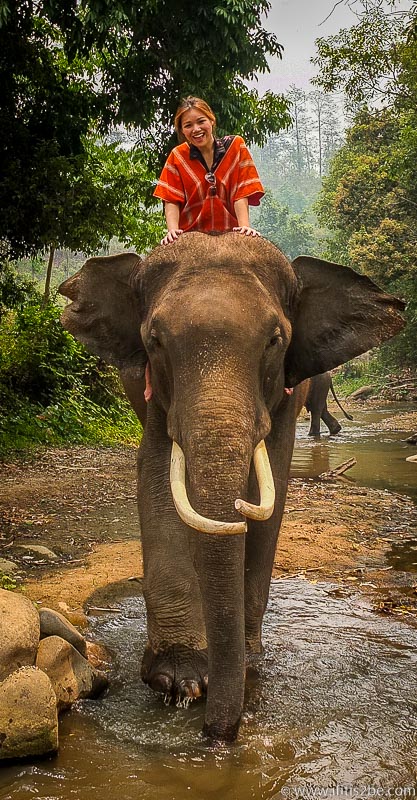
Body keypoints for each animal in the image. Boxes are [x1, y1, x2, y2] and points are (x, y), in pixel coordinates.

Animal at [58, 233, 404, 744]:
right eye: (154, 340)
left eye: (276, 340)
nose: (216, 735)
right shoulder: (156, 392)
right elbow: (157, 477)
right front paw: (179, 679)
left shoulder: (285, 393)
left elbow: (270, 487)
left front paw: (245, 656)